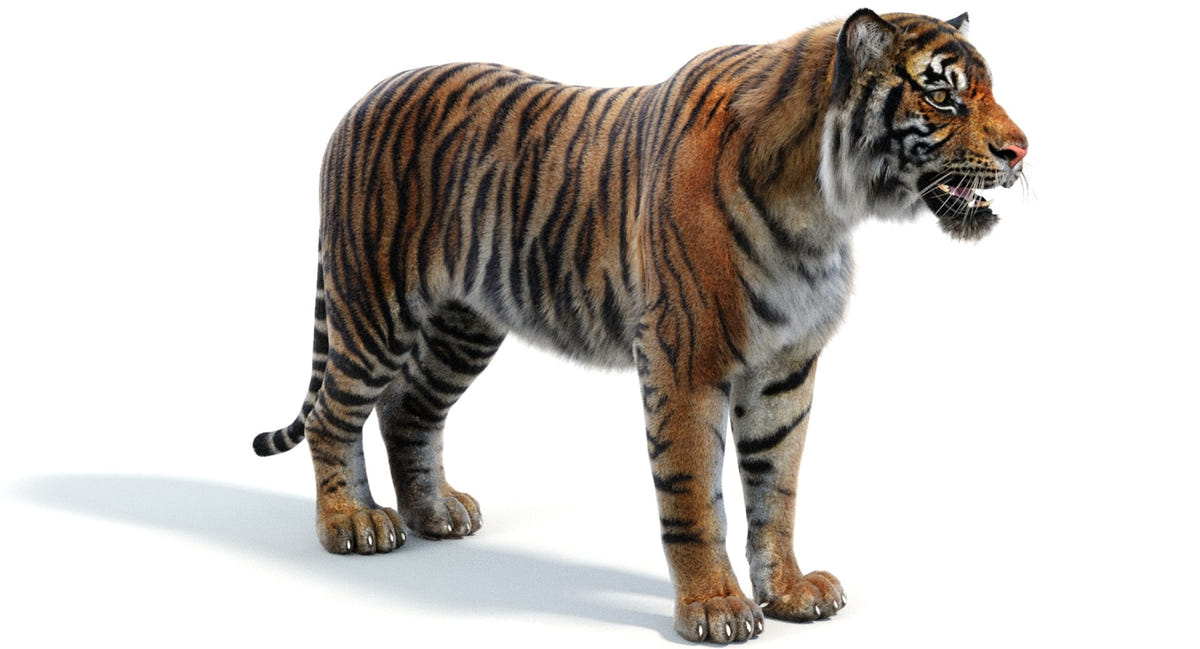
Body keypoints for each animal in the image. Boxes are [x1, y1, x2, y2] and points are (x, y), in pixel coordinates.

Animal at [254, 9, 1026, 643]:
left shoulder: (786, 369)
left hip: (463, 326)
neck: (823, 208)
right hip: (373, 305)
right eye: (943, 95)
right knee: (332, 416)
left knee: (407, 410)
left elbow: (777, 488)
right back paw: (352, 524)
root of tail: (364, 97)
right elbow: (693, 495)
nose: (1022, 151)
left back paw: (436, 513)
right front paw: (715, 608)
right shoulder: (685, 359)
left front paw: (789, 591)